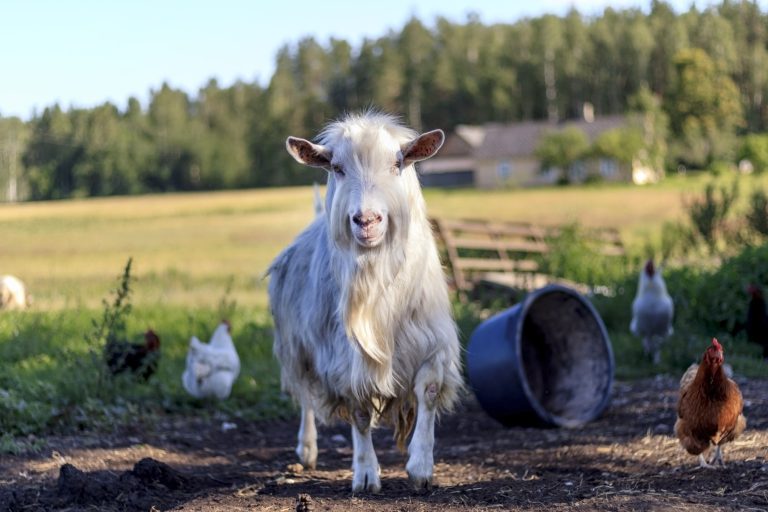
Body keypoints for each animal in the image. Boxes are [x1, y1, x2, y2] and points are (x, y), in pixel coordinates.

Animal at [268, 111, 463, 493]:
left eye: (397, 163)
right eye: (337, 167)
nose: (366, 220)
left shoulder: (432, 339)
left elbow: (429, 390)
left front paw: (421, 467)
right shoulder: (344, 355)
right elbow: (358, 411)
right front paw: (366, 474)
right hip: (296, 344)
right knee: (306, 397)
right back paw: (307, 449)